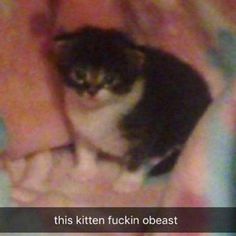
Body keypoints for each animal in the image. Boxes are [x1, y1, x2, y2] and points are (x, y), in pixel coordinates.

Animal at [54, 26, 212, 192]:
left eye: (110, 79)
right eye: (79, 74)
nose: (92, 91)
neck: (99, 110)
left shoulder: (144, 130)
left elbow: (137, 156)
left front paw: (127, 182)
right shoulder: (81, 127)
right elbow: (84, 148)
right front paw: (84, 170)